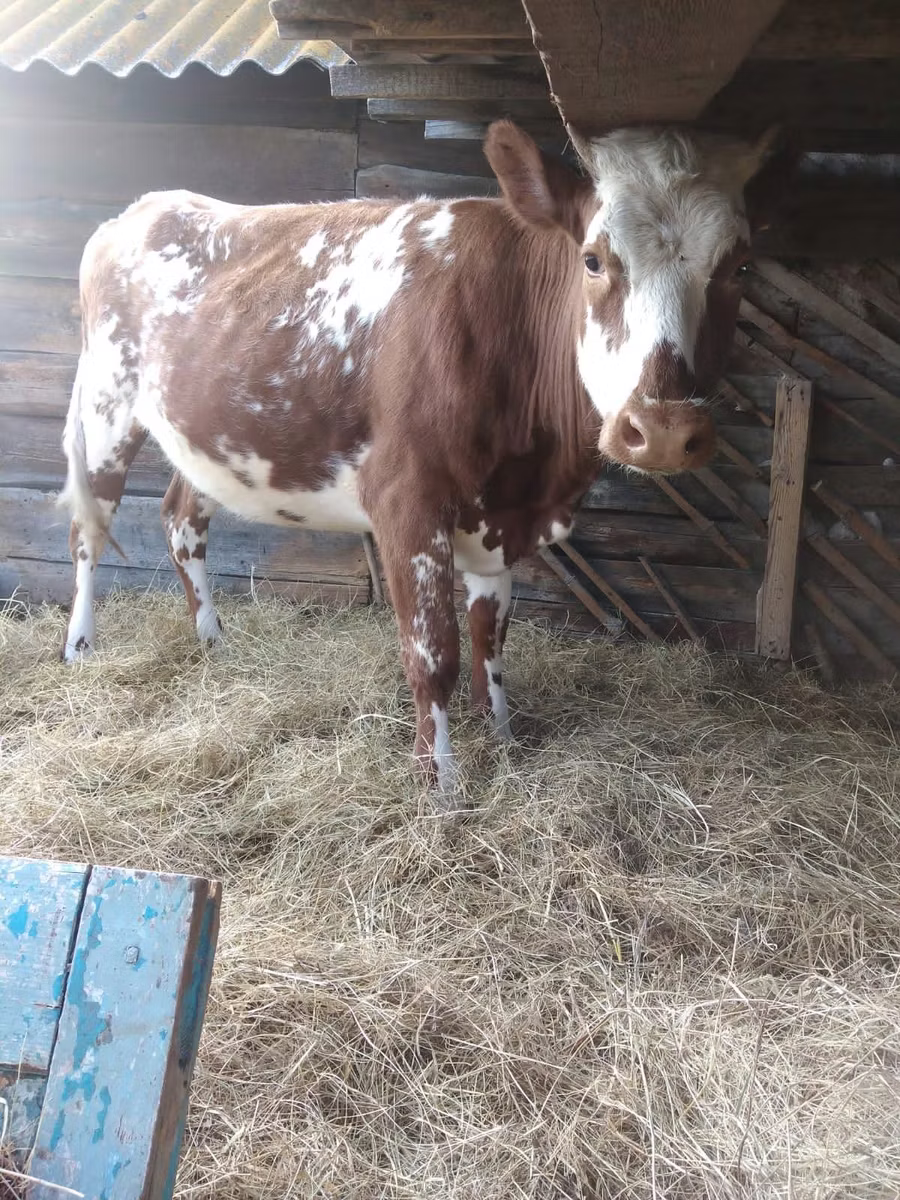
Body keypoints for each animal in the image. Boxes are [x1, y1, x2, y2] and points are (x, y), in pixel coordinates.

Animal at [58, 120, 773, 798]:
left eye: (741, 268)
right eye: (594, 260)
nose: (663, 429)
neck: (534, 476)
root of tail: (143, 208)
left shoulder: (499, 517)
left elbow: (490, 635)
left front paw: (504, 739)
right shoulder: (407, 503)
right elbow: (434, 656)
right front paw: (442, 786)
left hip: (206, 437)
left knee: (181, 520)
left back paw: (212, 643)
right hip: (106, 406)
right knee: (89, 531)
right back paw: (80, 648)